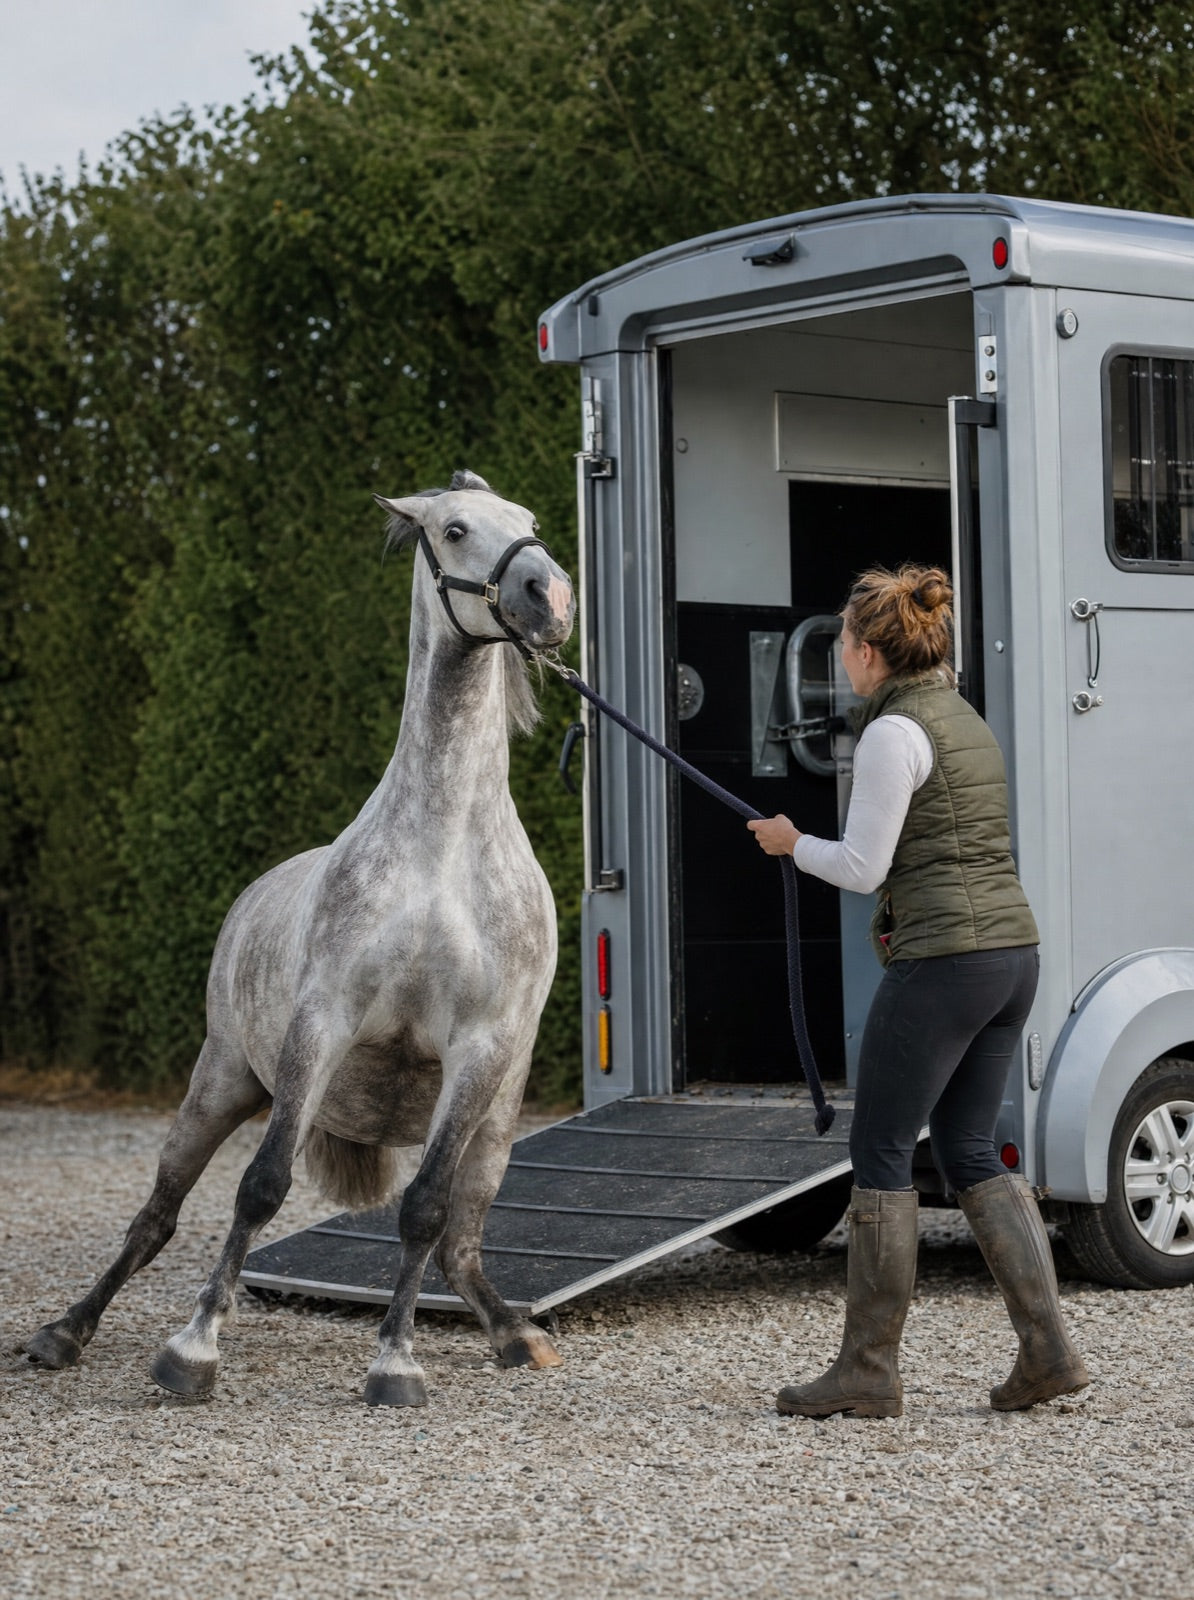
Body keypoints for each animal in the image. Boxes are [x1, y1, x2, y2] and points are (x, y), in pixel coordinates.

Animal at [26, 470, 575, 1408]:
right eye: (454, 529)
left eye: (532, 521)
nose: (550, 597)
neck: (443, 850)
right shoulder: (323, 1025)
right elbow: (260, 1189)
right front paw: (193, 1351)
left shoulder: (480, 1051)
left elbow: (425, 1210)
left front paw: (396, 1363)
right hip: (224, 1082)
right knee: (156, 1216)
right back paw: (66, 1331)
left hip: (495, 1126)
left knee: (460, 1242)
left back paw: (515, 1334)